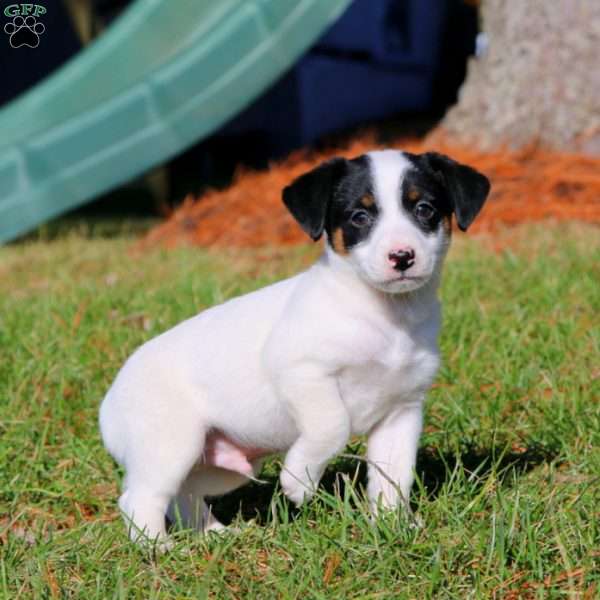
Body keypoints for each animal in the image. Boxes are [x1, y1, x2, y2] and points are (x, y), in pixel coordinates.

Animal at [98, 150, 490, 544]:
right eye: (359, 217)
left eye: (424, 209)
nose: (402, 256)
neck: (387, 316)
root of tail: (108, 402)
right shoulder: (301, 372)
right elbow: (333, 425)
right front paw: (299, 482)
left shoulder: (402, 411)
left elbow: (394, 478)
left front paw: (393, 526)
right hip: (171, 446)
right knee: (140, 497)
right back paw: (159, 547)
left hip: (224, 466)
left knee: (183, 495)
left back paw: (213, 535)